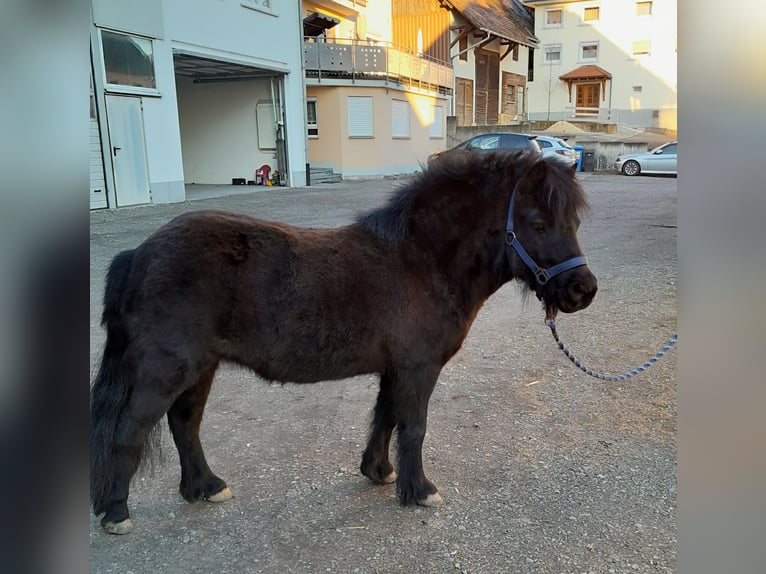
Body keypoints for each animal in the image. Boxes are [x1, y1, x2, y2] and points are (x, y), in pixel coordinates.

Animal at [91, 150, 600, 536]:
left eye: (574, 222)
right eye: (538, 223)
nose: (583, 290)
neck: (422, 260)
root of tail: (139, 254)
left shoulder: (396, 368)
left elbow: (385, 418)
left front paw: (379, 472)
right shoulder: (418, 368)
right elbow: (413, 427)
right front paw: (419, 490)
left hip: (200, 367)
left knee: (184, 425)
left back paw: (206, 487)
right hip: (166, 370)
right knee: (129, 432)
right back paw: (116, 512)